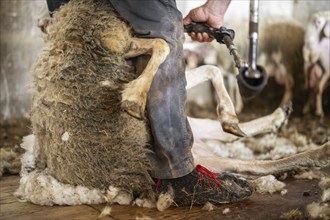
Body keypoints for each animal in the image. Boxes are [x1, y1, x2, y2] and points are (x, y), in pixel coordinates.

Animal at [16, 0, 330, 210]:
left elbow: (206, 68)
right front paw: (134, 99)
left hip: (198, 130)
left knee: (242, 154)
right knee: (251, 165)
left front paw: (230, 115)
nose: (41, 23)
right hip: (198, 149)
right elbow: (166, 47)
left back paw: (280, 125)